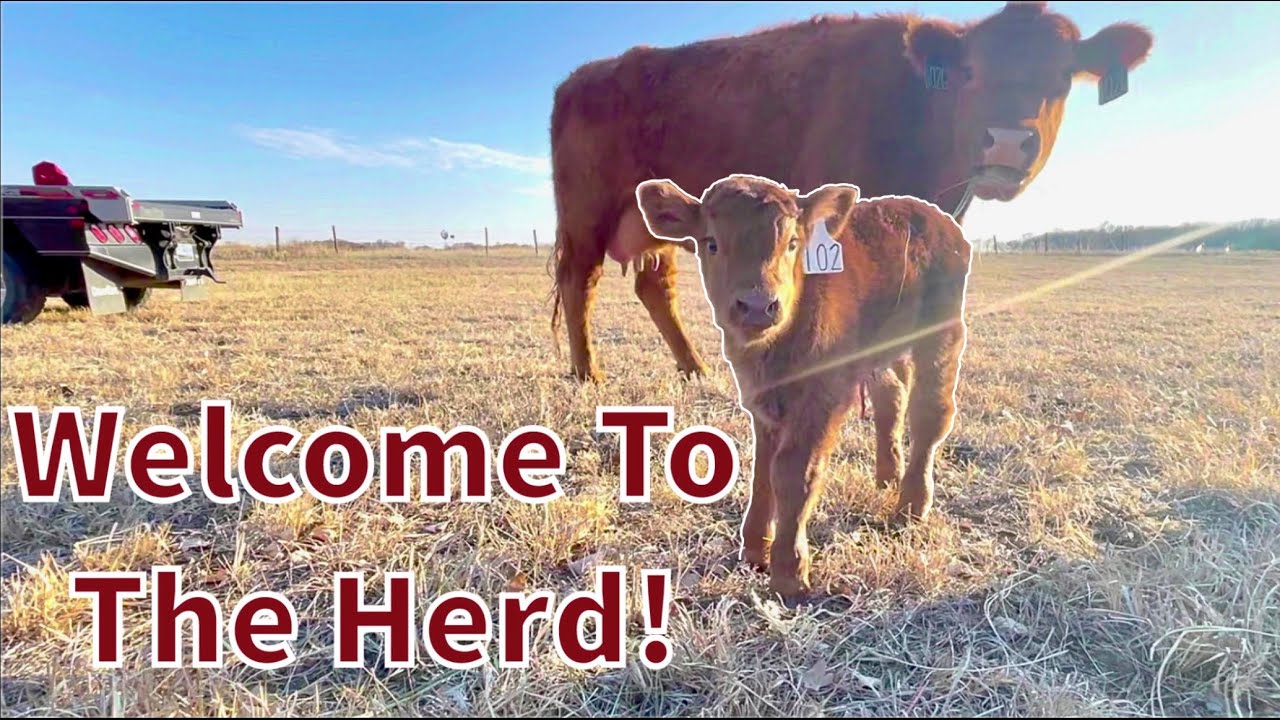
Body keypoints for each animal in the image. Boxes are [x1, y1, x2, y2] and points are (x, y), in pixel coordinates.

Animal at [548, 1, 1153, 383]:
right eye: (970, 72)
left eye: (1062, 77)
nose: (1005, 141)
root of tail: (582, 76)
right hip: (587, 215)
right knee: (581, 280)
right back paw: (587, 372)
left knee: (655, 288)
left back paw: (694, 368)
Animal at [636, 173, 973, 604]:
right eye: (711, 242)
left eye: (793, 243)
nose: (757, 306)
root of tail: (932, 215)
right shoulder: (761, 400)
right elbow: (763, 469)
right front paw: (754, 551)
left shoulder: (822, 395)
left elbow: (794, 472)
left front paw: (789, 575)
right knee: (892, 396)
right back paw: (887, 478)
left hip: (942, 333)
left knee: (930, 412)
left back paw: (911, 506)